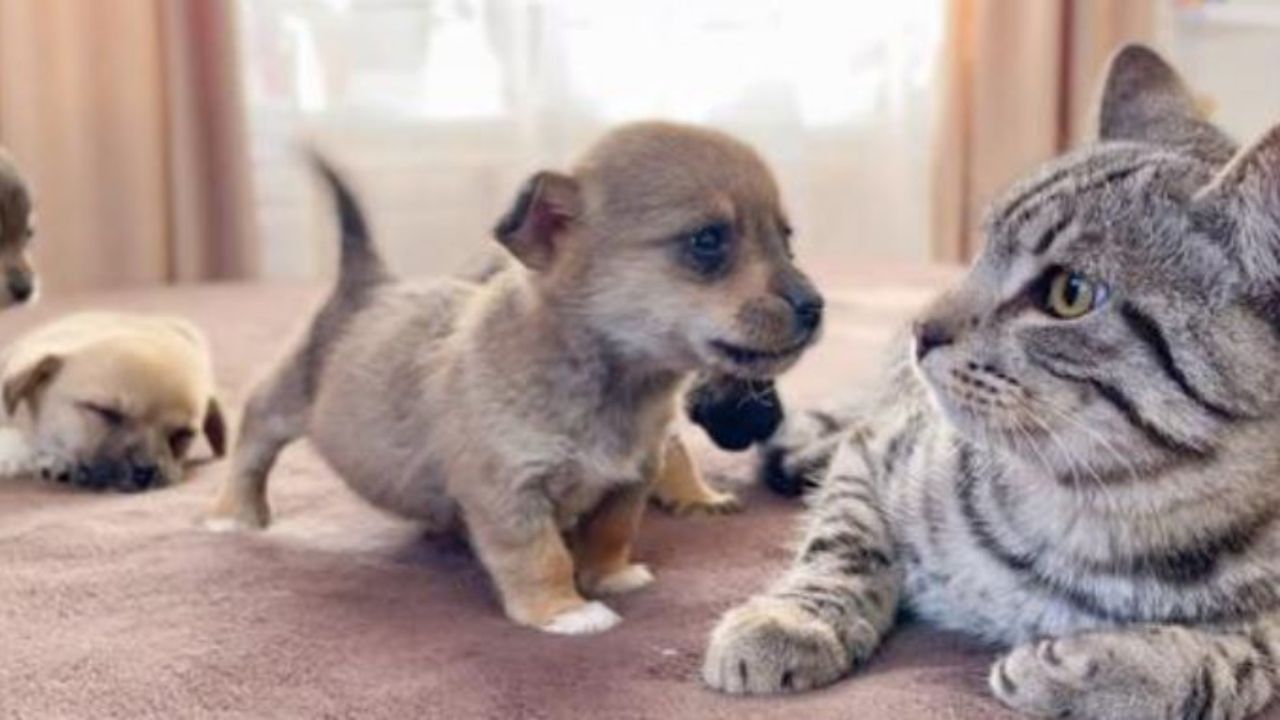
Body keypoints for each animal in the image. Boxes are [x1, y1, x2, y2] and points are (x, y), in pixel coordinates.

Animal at [199, 122, 819, 632]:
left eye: (787, 240)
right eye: (708, 240)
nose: (815, 307)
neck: (613, 384)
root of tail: (368, 284)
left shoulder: (629, 481)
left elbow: (610, 533)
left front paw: (610, 577)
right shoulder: (508, 493)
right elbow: (541, 556)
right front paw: (564, 611)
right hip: (286, 400)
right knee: (253, 433)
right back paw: (235, 515)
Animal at [706, 46, 1280, 717]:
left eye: (1069, 293)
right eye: (980, 253)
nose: (921, 328)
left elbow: (1236, 661)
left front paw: (1099, 667)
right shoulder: (877, 455)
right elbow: (842, 543)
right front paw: (794, 622)